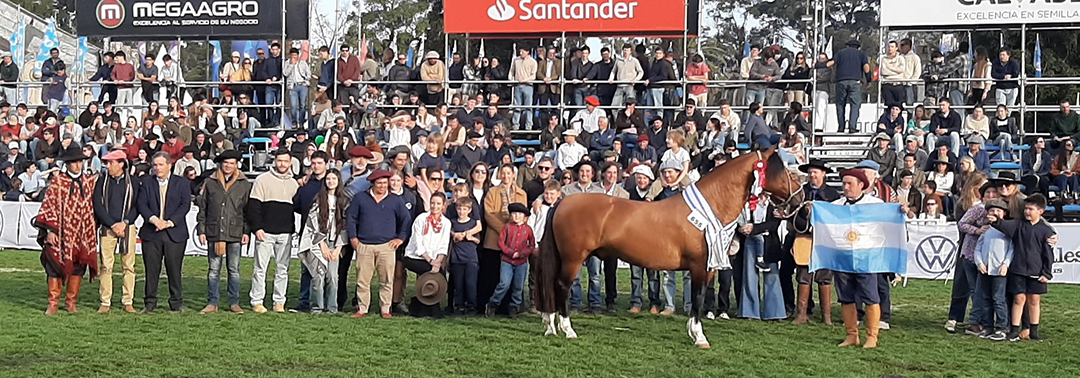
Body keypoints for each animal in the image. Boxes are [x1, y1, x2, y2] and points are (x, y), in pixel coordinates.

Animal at [537, 147, 803, 347]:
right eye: (785, 172)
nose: (800, 198)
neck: (707, 208)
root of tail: (561, 203)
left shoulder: (708, 268)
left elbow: (698, 299)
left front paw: (693, 332)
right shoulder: (699, 267)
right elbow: (697, 298)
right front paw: (699, 337)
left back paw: (551, 326)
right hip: (573, 259)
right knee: (561, 286)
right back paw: (568, 329)